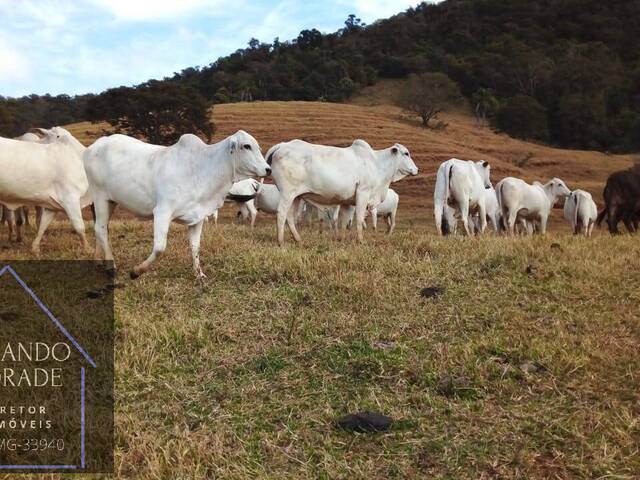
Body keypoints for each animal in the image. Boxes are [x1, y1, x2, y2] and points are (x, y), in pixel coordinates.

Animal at [0, 125, 91, 253]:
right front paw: (88, 249)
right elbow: (79, 226)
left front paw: (35, 248)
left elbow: (42, 225)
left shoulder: (52, 206)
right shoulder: (70, 199)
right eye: (57, 136)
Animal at [84, 129, 268, 280]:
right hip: (100, 196)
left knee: (103, 227)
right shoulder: (162, 212)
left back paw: (98, 261)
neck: (201, 169)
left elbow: (195, 247)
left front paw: (199, 275)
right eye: (246, 146)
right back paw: (111, 267)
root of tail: (94, 146)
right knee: (100, 228)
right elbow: (159, 248)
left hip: (111, 201)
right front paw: (136, 271)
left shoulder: (197, 218)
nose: (268, 169)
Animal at [268, 139, 418, 244]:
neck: (377, 164)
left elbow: (345, 221)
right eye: (406, 153)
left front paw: (342, 239)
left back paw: (298, 239)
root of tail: (282, 145)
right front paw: (360, 240)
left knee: (290, 217)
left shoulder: (347, 202)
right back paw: (280, 241)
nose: (416, 169)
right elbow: (359, 219)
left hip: (296, 196)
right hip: (287, 193)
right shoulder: (363, 193)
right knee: (281, 213)